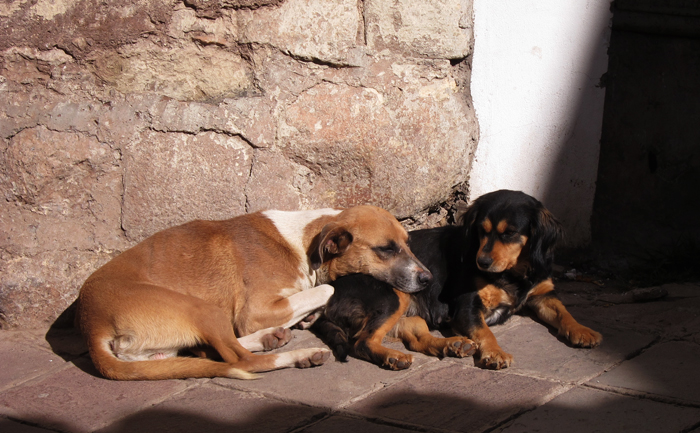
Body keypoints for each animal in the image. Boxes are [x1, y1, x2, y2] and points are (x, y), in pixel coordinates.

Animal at [74, 206, 430, 378]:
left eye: (408, 243)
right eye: (386, 249)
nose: (428, 279)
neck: (301, 243)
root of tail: (92, 324)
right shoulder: (255, 311)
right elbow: (324, 288)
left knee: (214, 351)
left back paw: (271, 338)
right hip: (203, 308)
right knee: (241, 361)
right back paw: (299, 354)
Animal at [314, 191, 604, 370]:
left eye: (510, 233)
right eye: (481, 231)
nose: (482, 262)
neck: (513, 271)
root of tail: (329, 293)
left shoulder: (543, 293)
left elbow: (564, 311)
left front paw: (583, 331)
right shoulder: (466, 306)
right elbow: (485, 331)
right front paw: (495, 353)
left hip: (407, 311)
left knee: (415, 337)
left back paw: (452, 345)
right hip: (394, 295)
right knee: (362, 342)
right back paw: (394, 357)